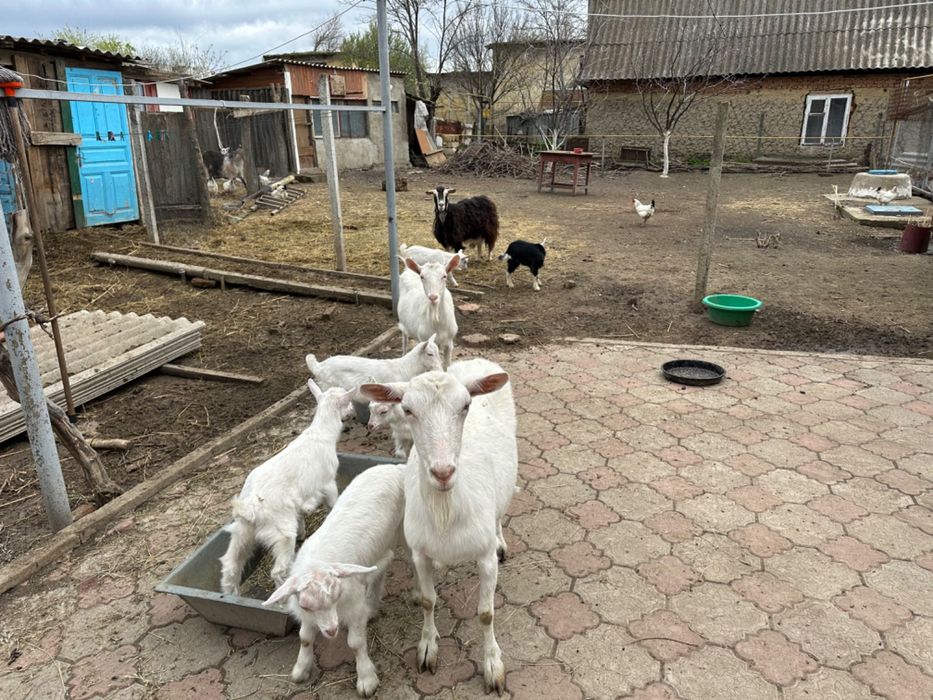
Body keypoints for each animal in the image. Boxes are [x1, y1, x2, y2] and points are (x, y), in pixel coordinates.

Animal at [219, 379, 355, 596]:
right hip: (280, 532)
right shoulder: (328, 483)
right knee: (277, 571)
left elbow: (300, 516)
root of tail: (251, 508)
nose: (352, 412)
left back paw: (231, 595)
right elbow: (332, 502)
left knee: (230, 566)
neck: (321, 435)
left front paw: (303, 533)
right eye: (347, 401)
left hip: (242, 532)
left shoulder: (299, 502)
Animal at [263, 462, 408, 697]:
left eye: (336, 595)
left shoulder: (353, 606)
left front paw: (366, 679)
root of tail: (393, 467)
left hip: (404, 527)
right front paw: (301, 669)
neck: (316, 563)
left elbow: (356, 643)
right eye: (306, 605)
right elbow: (305, 637)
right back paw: (373, 605)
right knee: (383, 564)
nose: (331, 631)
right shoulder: (308, 615)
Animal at [360, 357, 517, 694]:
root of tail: (477, 361)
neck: (446, 511)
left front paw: (493, 666)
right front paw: (427, 649)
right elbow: (428, 601)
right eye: (407, 409)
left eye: (466, 405)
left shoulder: (484, 556)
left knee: (500, 513)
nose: (443, 472)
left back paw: (502, 542)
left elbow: (486, 614)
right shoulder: (419, 552)